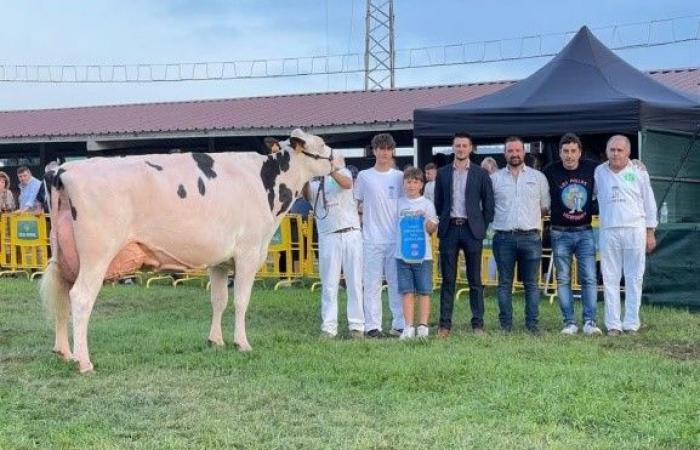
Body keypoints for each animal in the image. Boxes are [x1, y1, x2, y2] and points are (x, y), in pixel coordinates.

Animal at [39, 129, 338, 372]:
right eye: (322, 143)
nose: (340, 160)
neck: (265, 183)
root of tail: (63, 170)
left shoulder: (220, 260)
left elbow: (219, 300)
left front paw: (215, 341)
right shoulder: (249, 252)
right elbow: (241, 301)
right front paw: (242, 343)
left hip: (64, 257)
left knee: (62, 295)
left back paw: (64, 353)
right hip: (96, 255)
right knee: (80, 298)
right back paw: (84, 362)